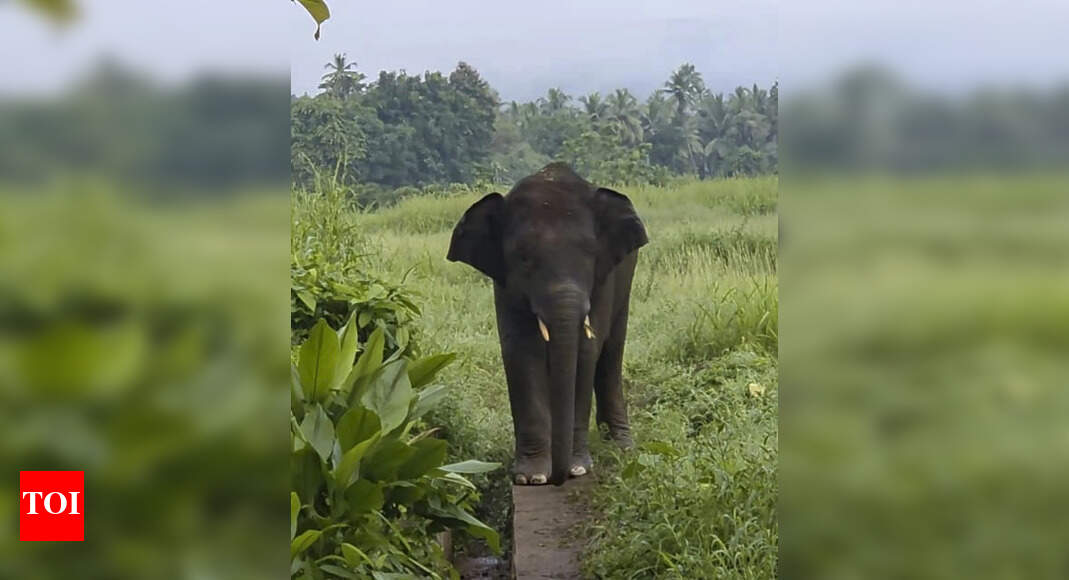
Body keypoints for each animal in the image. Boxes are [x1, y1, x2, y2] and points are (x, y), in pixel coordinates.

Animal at [447, 163, 648, 485]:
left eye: (590, 255)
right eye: (524, 258)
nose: (559, 477)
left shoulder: (604, 278)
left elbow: (586, 352)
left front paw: (578, 469)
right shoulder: (505, 285)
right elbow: (520, 351)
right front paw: (532, 477)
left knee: (612, 352)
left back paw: (622, 447)